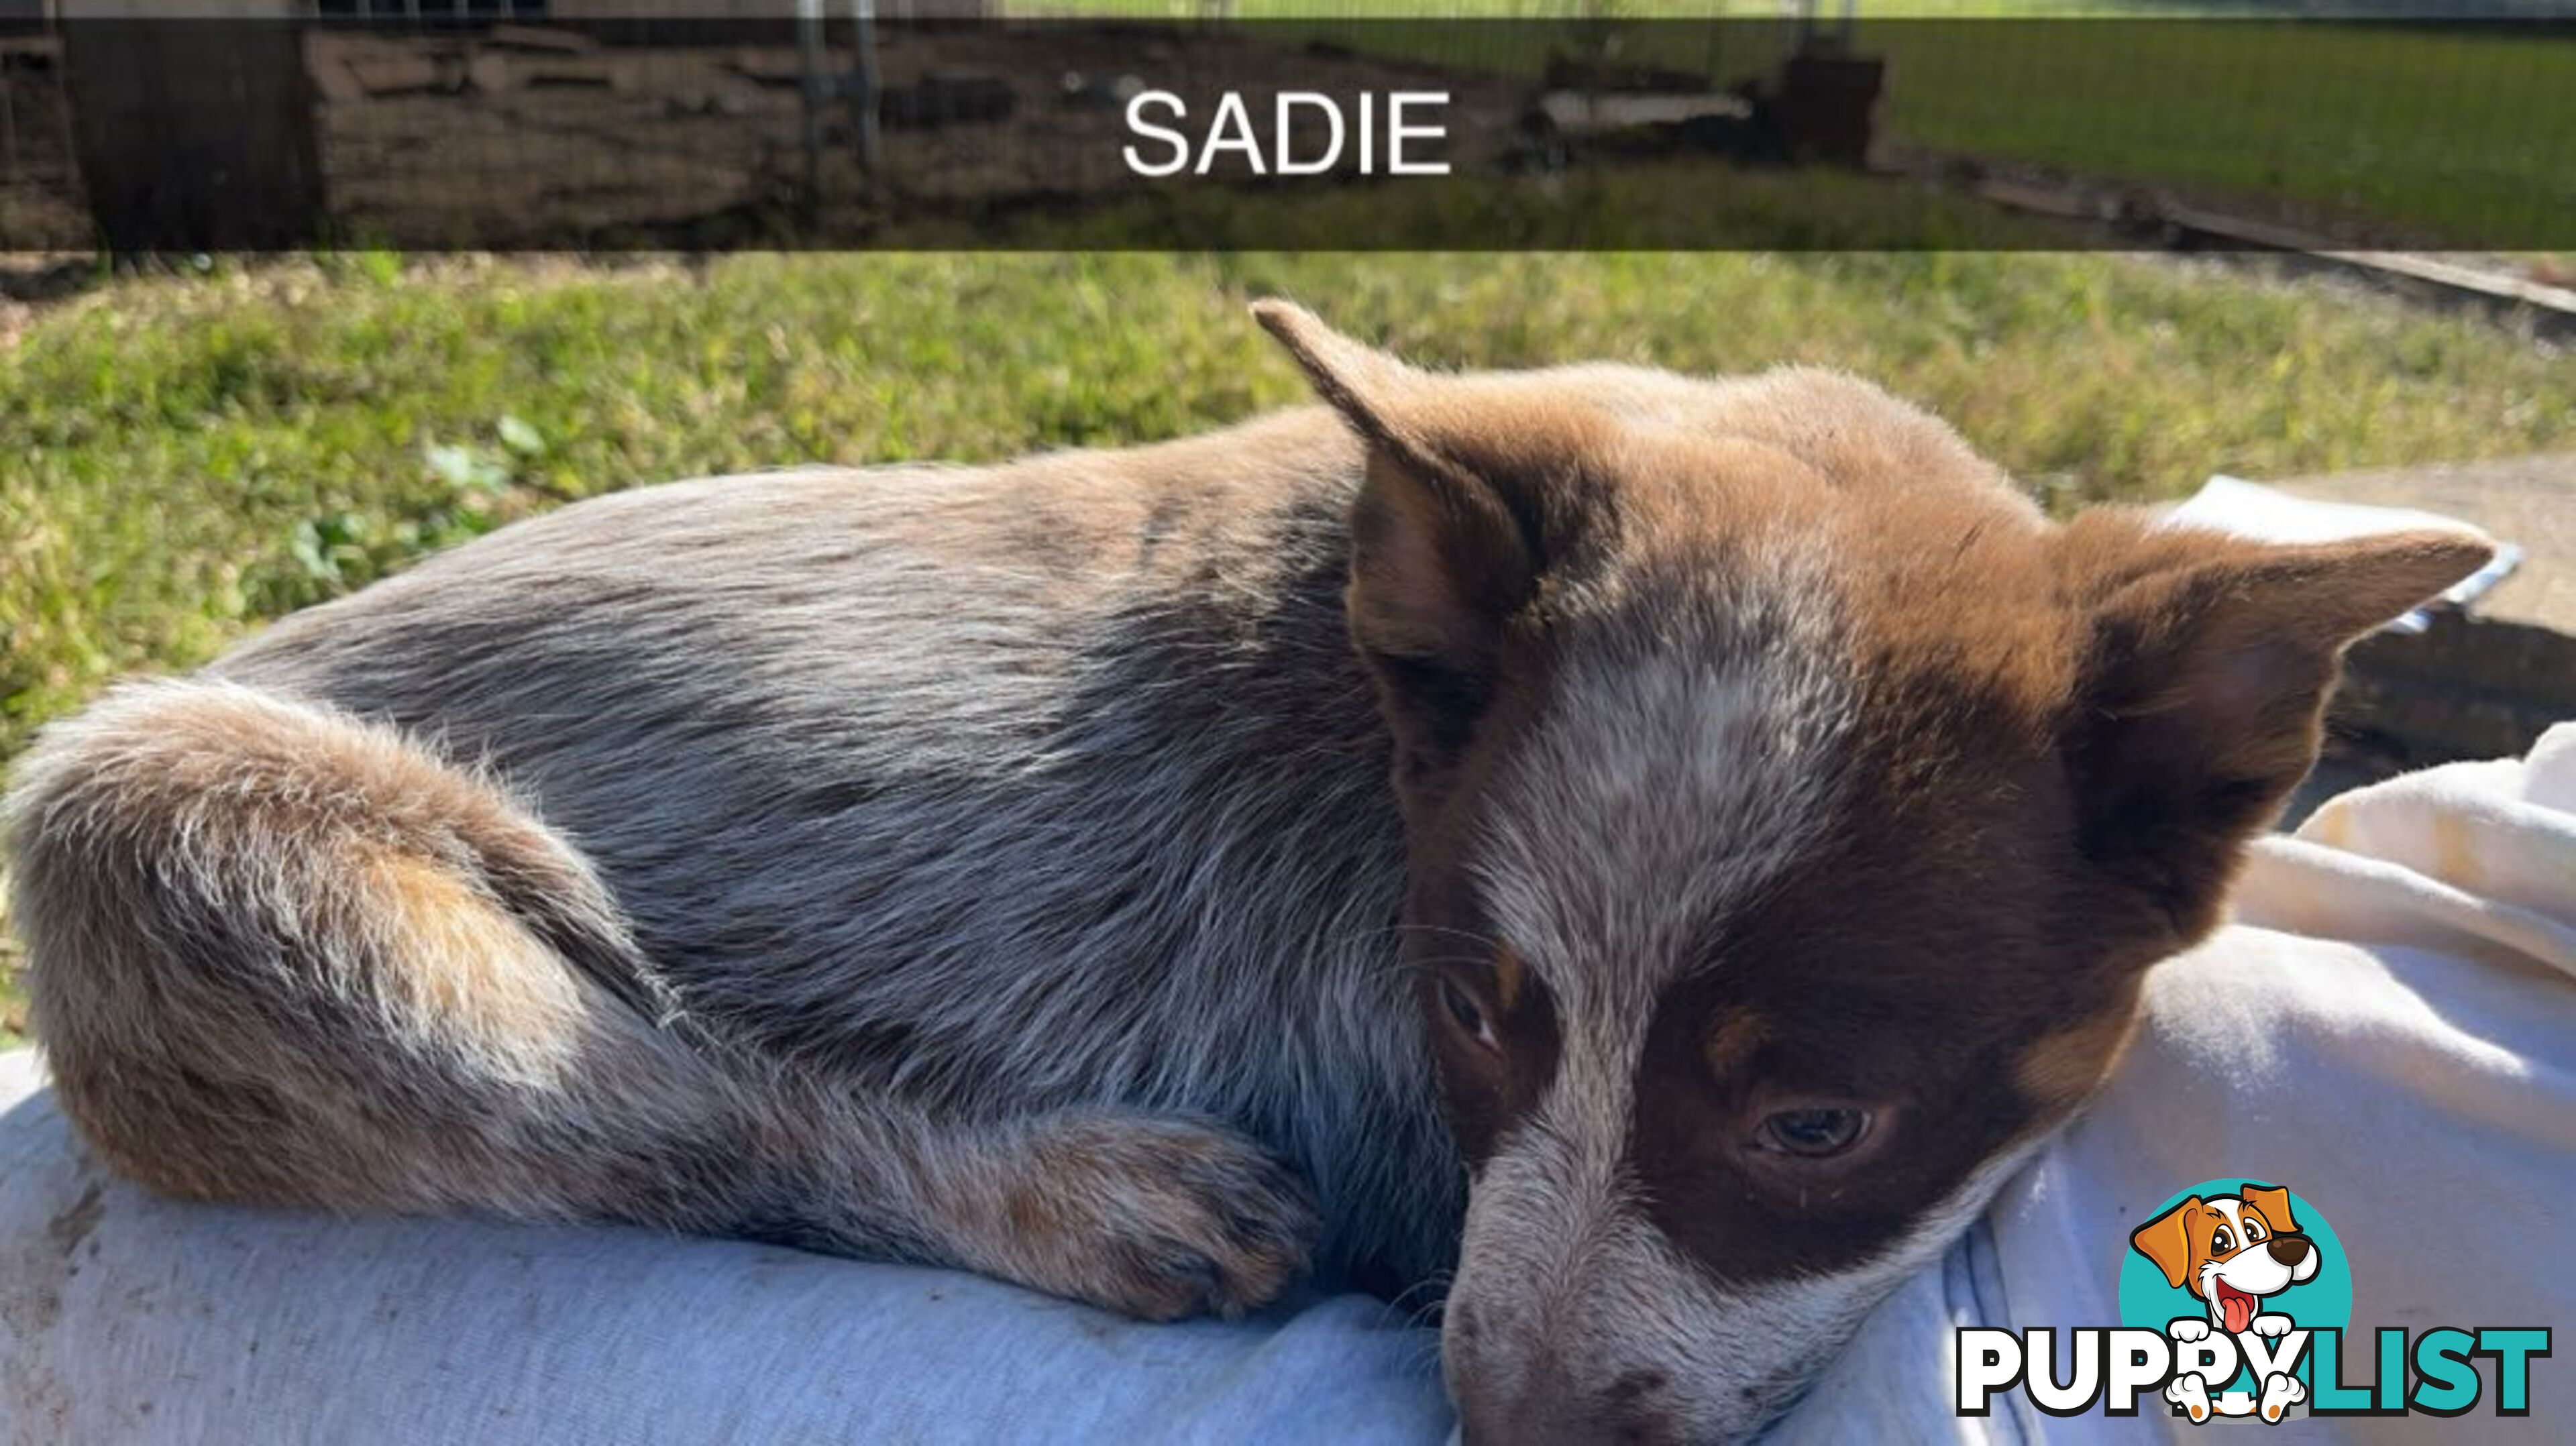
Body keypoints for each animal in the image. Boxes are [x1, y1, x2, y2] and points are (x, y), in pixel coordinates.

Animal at [10, 298, 2483, 1433]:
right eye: (1473, 1010)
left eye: (1813, 1120)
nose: (1493, 1431)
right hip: (160, 831)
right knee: (676, 1120)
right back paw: (1094, 1191)